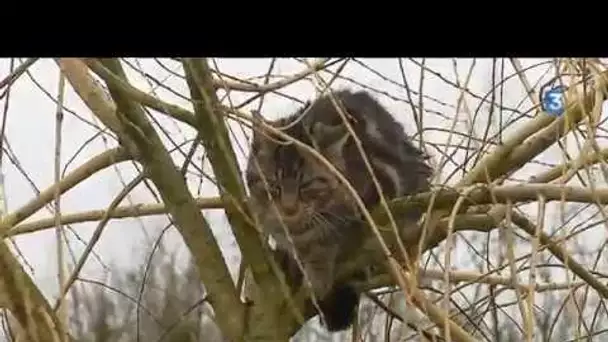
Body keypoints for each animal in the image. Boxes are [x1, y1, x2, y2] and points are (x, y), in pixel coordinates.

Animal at [243, 88, 432, 332]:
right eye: (273, 186)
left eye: (306, 186)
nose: (289, 209)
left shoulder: (380, 189)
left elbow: (334, 238)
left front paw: (320, 270)